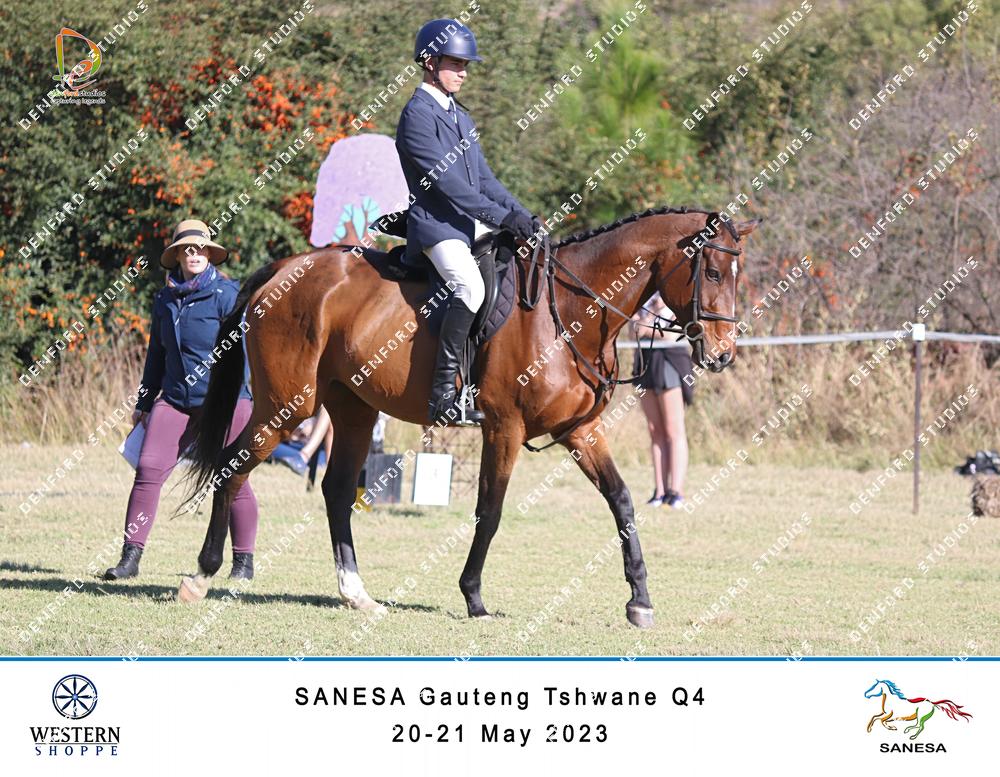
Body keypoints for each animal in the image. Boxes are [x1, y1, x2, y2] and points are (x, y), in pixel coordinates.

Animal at [176, 205, 760, 628]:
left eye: (738, 274)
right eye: (712, 271)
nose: (722, 355)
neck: (572, 310)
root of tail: (288, 268)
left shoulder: (580, 431)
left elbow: (622, 502)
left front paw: (640, 600)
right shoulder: (504, 427)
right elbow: (490, 511)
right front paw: (474, 597)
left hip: (354, 410)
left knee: (337, 491)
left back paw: (356, 594)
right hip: (285, 407)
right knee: (231, 468)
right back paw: (201, 576)